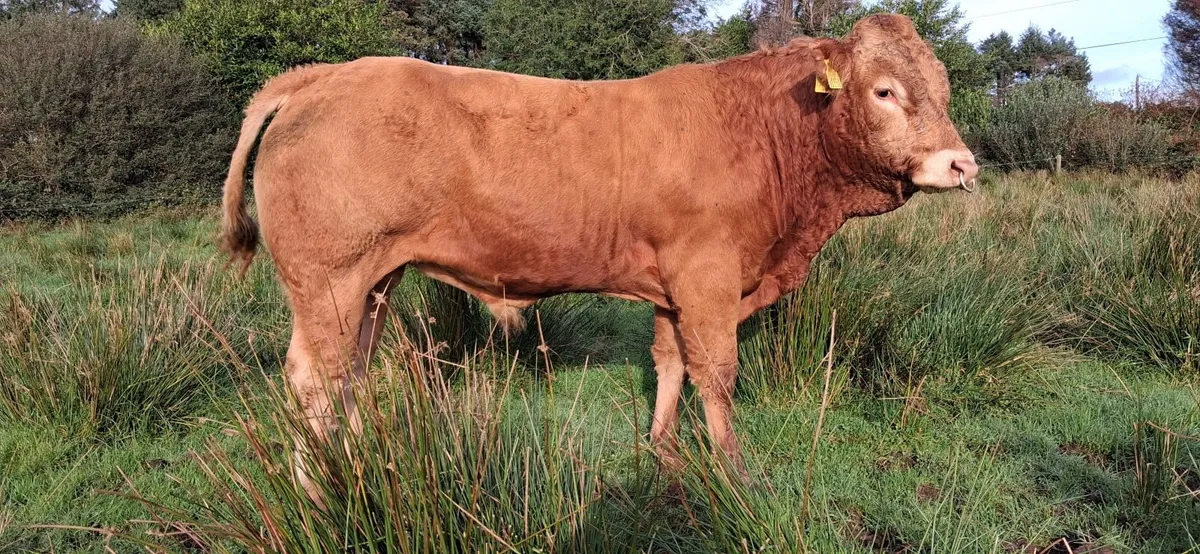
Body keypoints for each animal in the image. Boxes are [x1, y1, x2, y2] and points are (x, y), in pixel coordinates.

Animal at [219, 14, 978, 496]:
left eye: (944, 90)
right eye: (885, 90)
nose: (961, 165)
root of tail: (320, 77)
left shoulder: (674, 283)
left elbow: (672, 363)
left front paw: (665, 453)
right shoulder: (709, 276)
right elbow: (718, 374)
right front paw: (734, 472)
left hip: (375, 282)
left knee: (349, 373)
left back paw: (352, 465)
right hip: (328, 278)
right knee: (314, 378)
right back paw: (318, 491)